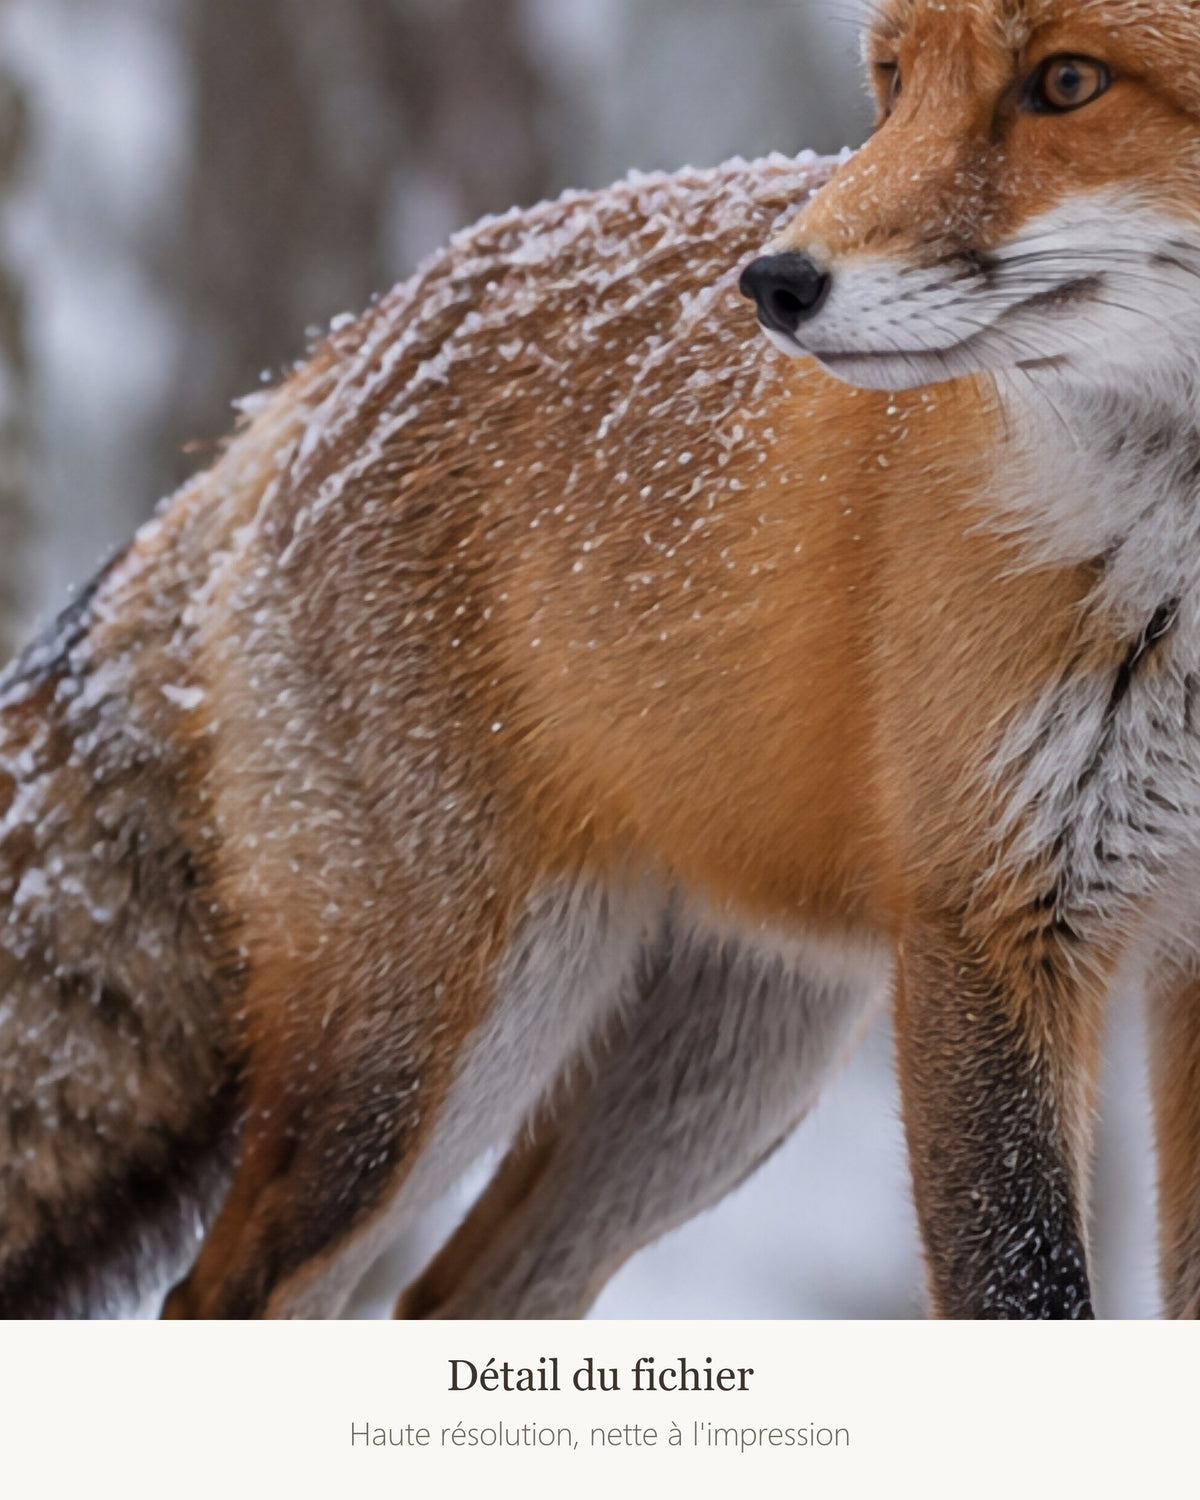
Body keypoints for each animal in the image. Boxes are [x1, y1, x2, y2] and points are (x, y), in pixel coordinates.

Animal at [5, 0, 1200, 1320]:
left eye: (1069, 82)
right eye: (892, 85)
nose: (774, 283)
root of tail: (324, 362)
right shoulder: (992, 923)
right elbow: (1030, 1288)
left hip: (721, 1073)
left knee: (453, 1299)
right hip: (436, 1048)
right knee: (226, 1297)